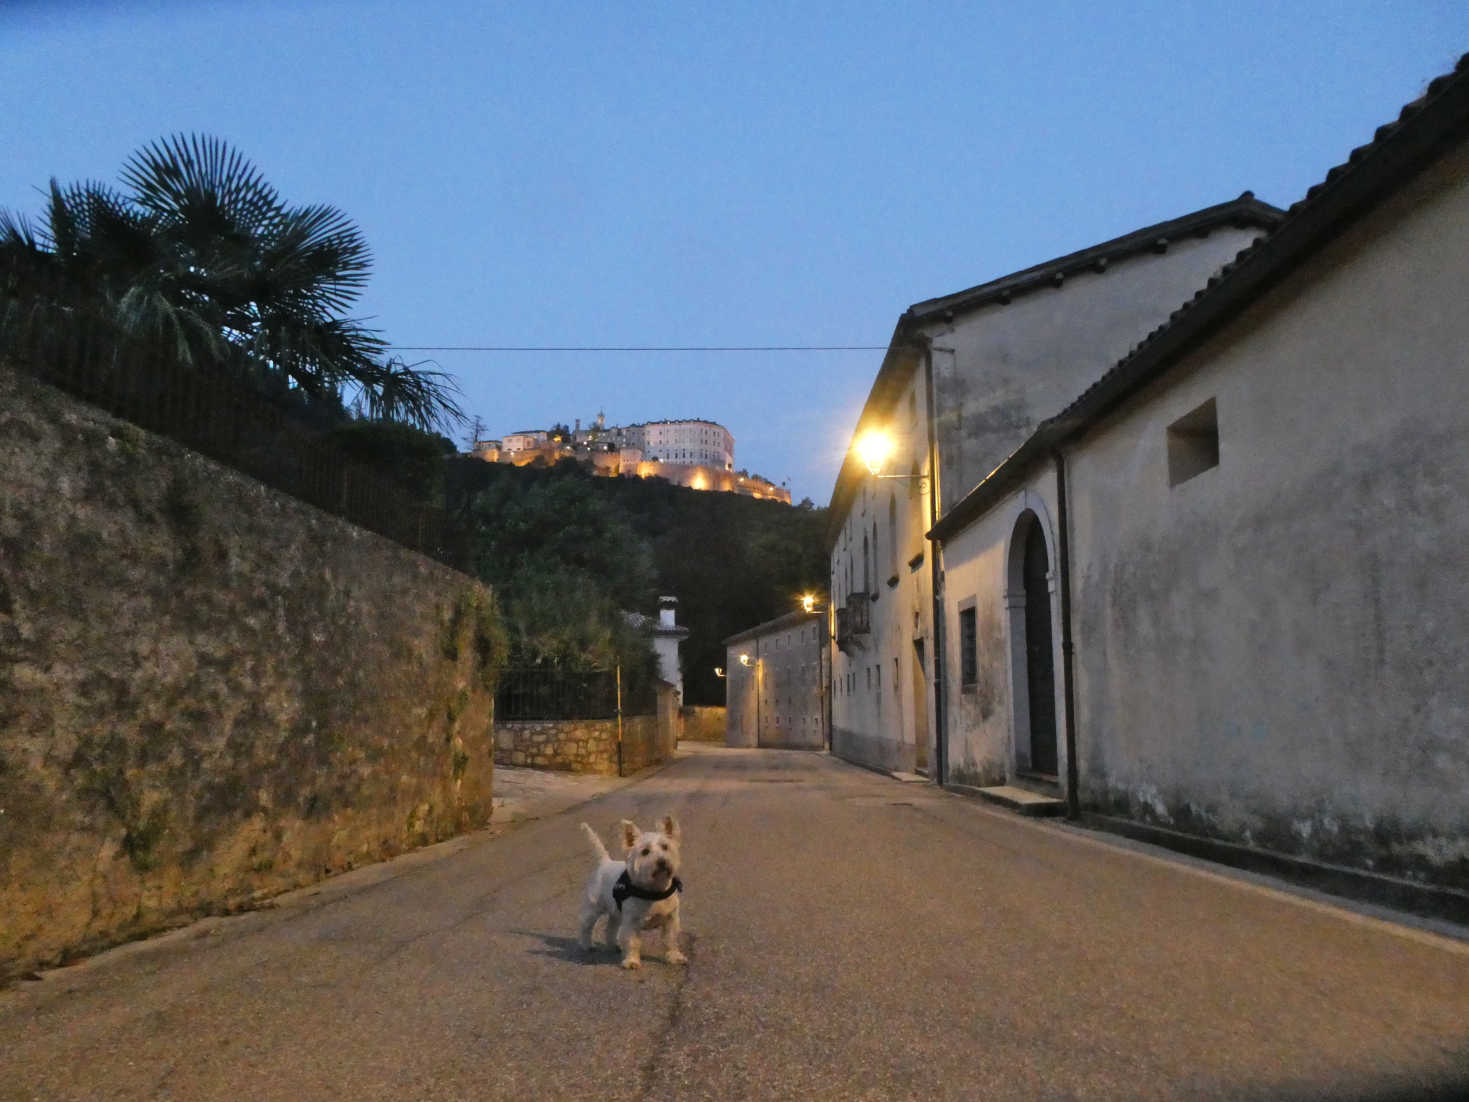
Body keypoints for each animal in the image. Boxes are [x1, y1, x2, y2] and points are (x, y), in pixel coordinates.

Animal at [575, 816, 684, 969]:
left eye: (665, 847)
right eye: (645, 851)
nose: (662, 861)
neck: (654, 891)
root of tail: (605, 862)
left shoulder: (670, 920)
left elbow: (671, 940)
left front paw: (675, 957)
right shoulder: (631, 922)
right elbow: (632, 941)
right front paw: (632, 961)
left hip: (615, 912)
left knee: (610, 928)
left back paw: (612, 946)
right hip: (593, 908)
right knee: (586, 926)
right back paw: (587, 945)